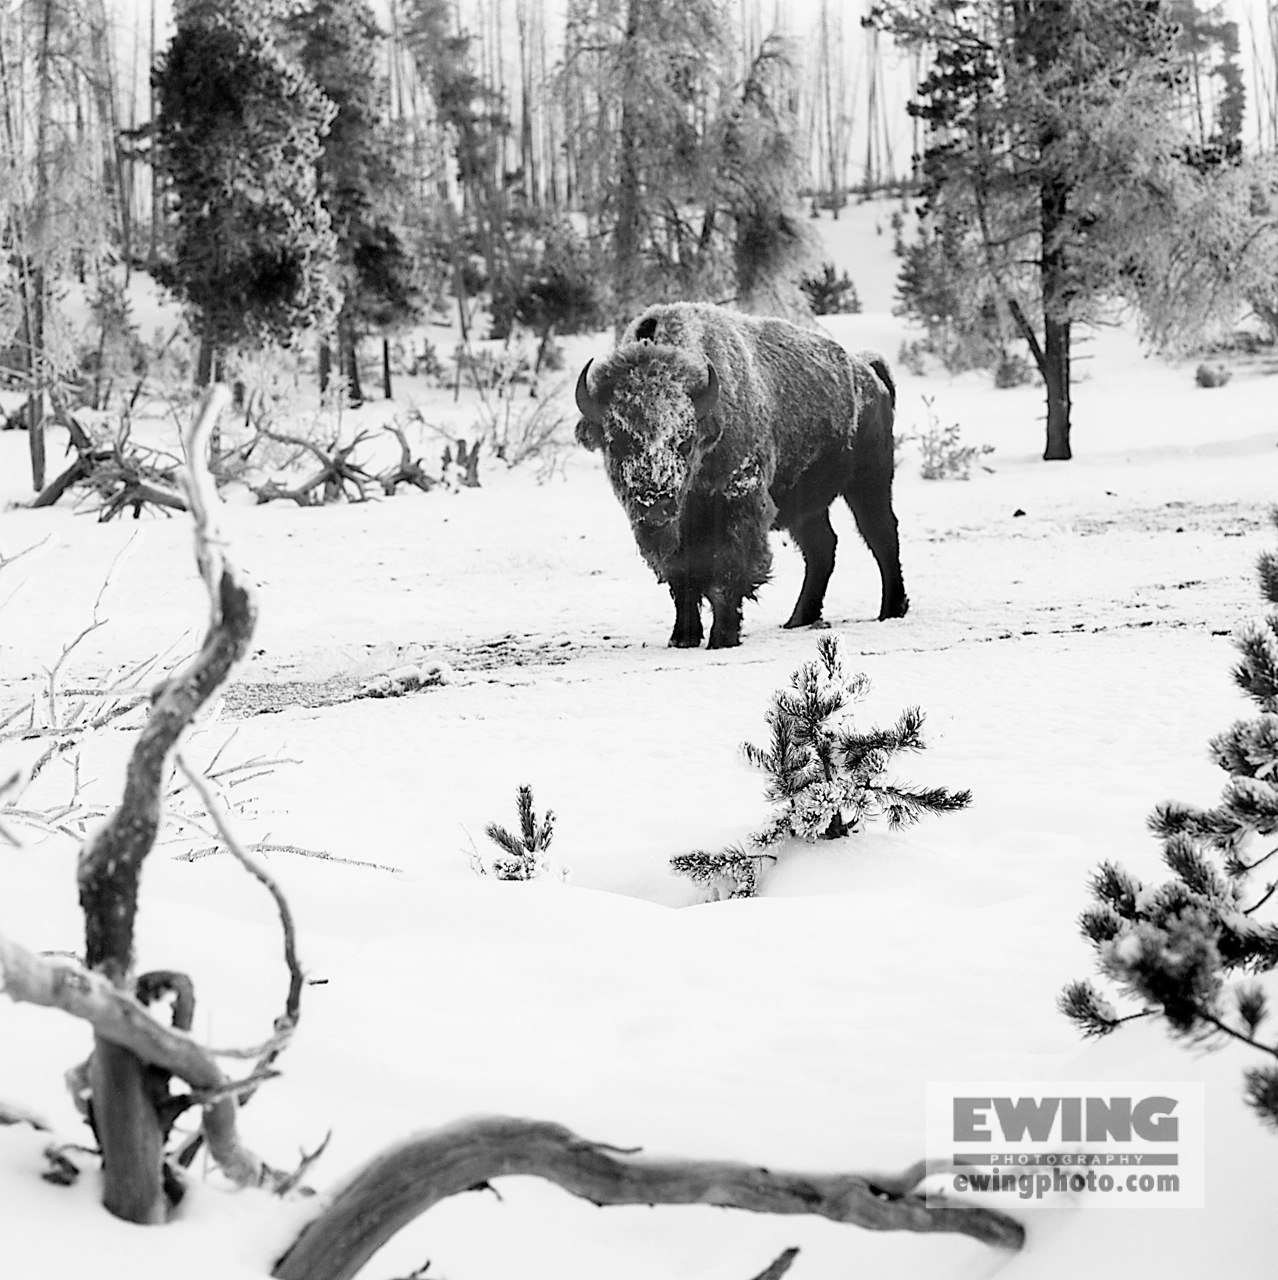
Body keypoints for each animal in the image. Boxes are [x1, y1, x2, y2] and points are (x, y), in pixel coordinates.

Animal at [576, 302, 906, 650]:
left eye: (685, 441)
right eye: (616, 442)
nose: (655, 505)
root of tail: (869, 372)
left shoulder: (740, 505)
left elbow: (727, 574)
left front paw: (723, 638)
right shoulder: (681, 533)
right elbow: (682, 579)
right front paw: (682, 638)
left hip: (869, 483)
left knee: (881, 535)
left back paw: (891, 610)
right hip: (807, 507)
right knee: (822, 548)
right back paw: (798, 619)